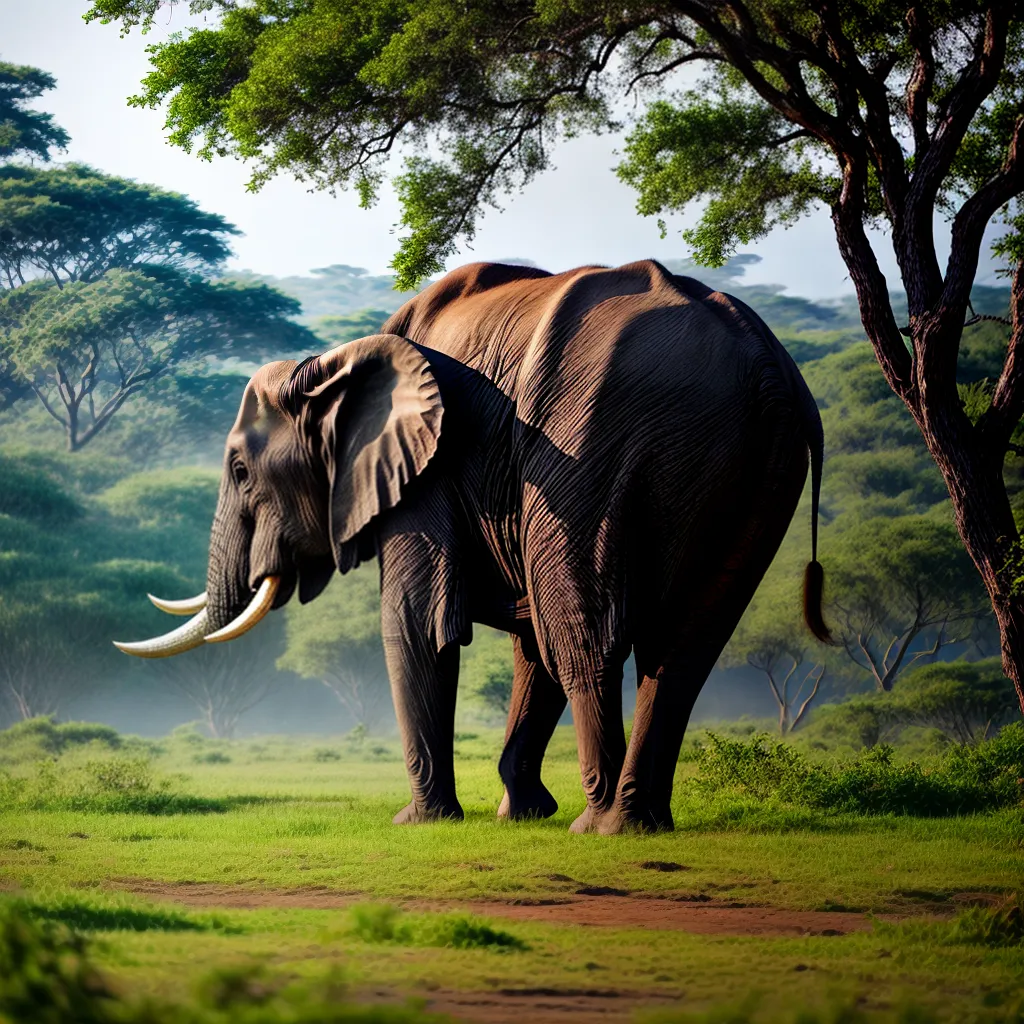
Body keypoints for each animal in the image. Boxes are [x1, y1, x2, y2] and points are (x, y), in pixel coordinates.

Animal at [115, 259, 829, 834]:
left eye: (240, 471)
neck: (333, 362)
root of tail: (765, 363)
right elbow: (526, 641)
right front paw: (520, 814)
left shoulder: (433, 468)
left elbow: (418, 623)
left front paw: (419, 823)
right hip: (757, 467)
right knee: (682, 650)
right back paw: (642, 821)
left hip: (596, 443)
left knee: (582, 630)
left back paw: (602, 826)